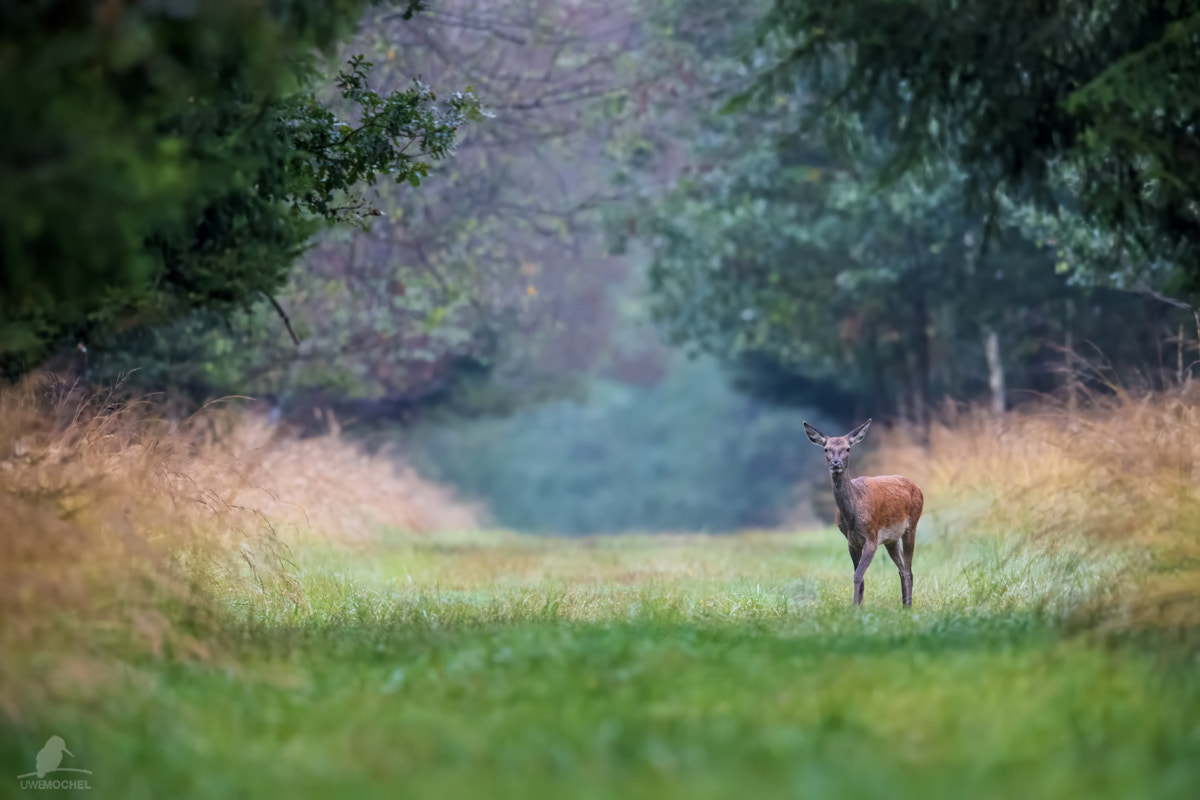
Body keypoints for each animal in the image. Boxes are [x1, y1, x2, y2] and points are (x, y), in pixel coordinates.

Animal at [806, 419, 926, 606]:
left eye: (848, 448)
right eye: (826, 448)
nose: (836, 463)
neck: (853, 515)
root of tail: (918, 488)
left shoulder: (871, 537)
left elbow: (857, 576)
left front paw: (854, 607)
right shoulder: (851, 541)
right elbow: (860, 578)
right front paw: (859, 608)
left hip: (912, 525)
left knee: (908, 569)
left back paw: (908, 606)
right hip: (891, 539)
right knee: (901, 568)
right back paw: (904, 605)